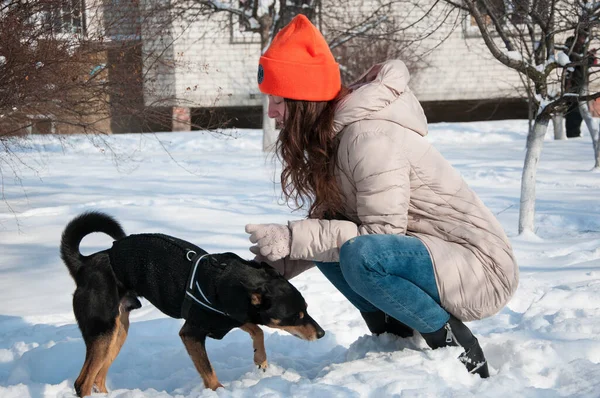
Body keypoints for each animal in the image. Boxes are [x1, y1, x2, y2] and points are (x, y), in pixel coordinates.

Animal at [61, 211, 324, 394]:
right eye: (297, 315)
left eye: (307, 309)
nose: (321, 334)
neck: (229, 282)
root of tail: (83, 264)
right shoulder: (192, 332)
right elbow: (209, 372)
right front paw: (220, 392)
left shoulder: (228, 317)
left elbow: (256, 329)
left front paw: (260, 359)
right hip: (103, 330)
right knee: (82, 382)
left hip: (118, 331)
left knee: (98, 377)